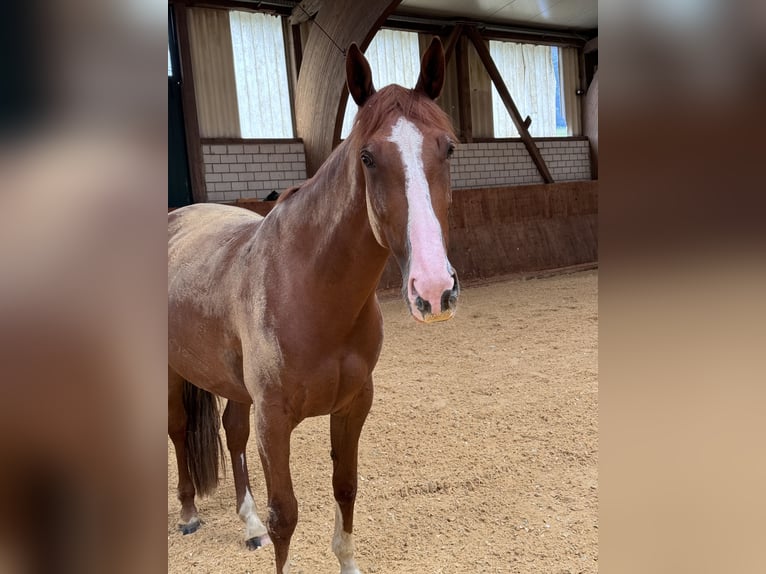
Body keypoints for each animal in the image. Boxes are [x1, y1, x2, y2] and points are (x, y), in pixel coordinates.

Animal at [169, 38, 460, 572]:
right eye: (367, 157)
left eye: (447, 148)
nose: (433, 289)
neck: (311, 289)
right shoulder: (273, 420)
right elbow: (285, 515)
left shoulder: (354, 405)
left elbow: (345, 487)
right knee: (179, 430)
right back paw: (187, 513)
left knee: (231, 433)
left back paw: (248, 525)